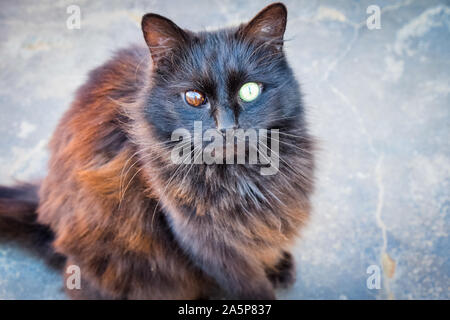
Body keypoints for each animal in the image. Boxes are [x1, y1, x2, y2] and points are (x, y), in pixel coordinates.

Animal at [0, 3, 312, 300]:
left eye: (249, 91)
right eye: (194, 98)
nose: (226, 127)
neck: (237, 174)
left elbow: (267, 243)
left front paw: (278, 265)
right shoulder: (206, 243)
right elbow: (250, 283)